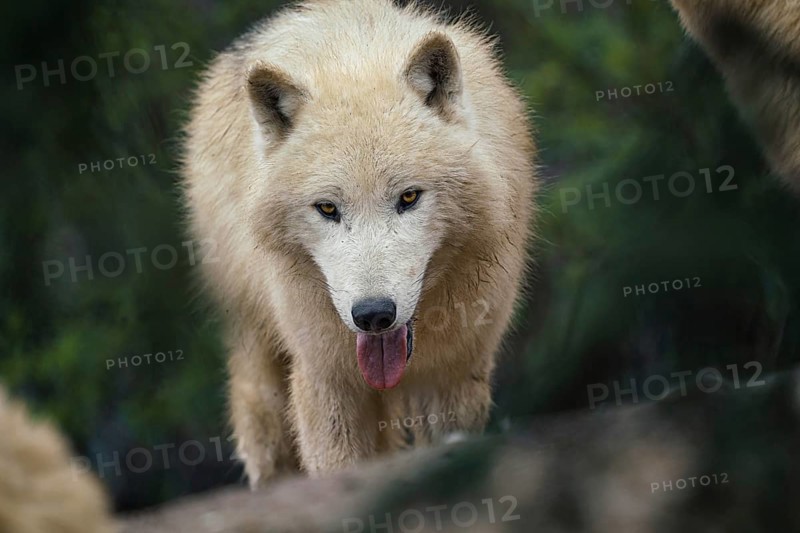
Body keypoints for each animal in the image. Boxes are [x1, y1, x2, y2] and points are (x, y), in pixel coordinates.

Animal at [181, 0, 537, 486]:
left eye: (409, 197)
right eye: (328, 208)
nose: (373, 315)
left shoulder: (455, 377)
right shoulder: (326, 380)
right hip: (261, 370)